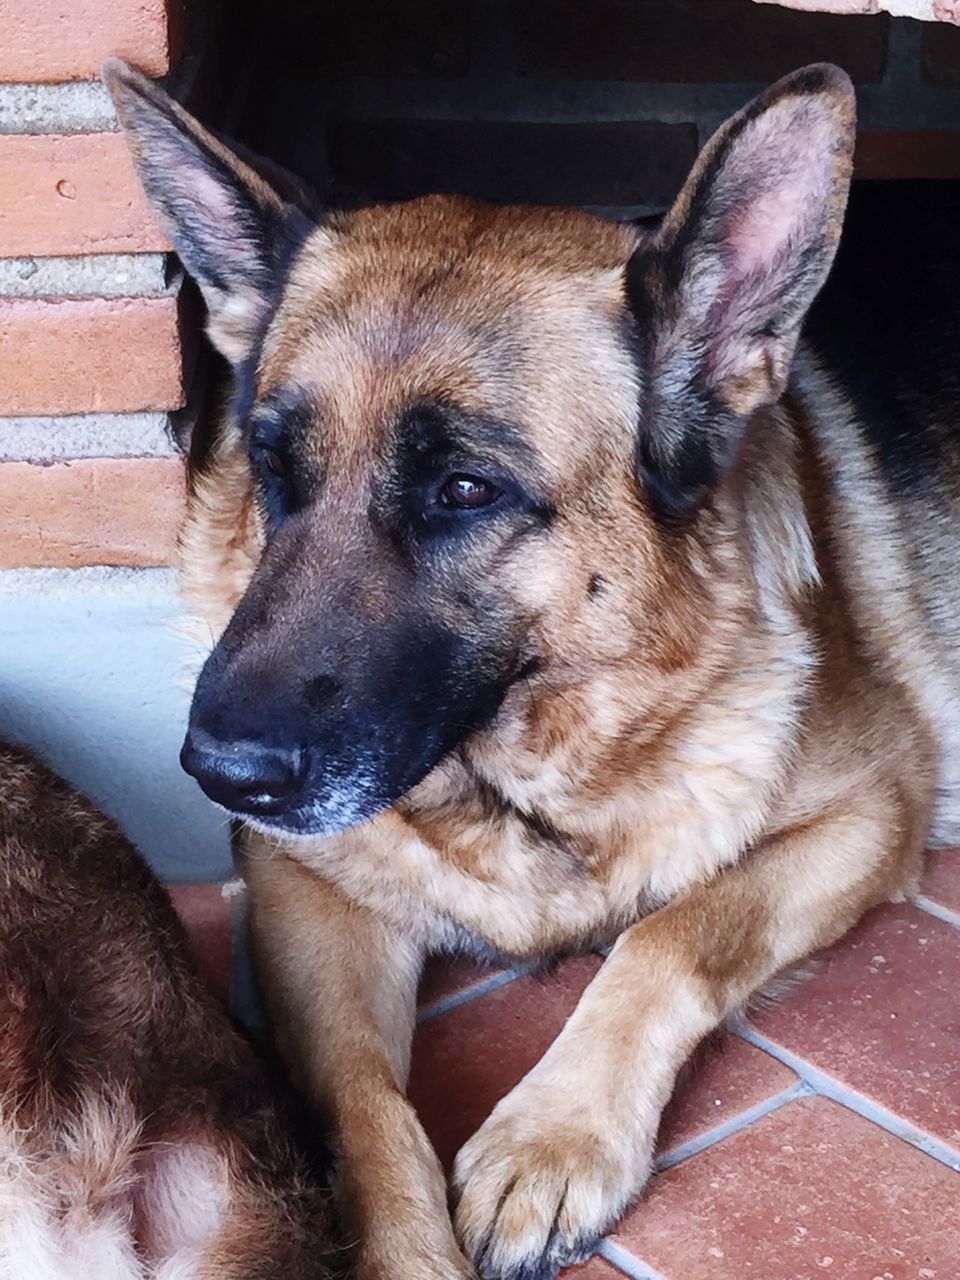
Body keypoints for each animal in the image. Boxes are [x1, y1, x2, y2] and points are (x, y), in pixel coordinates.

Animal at [104, 60, 960, 1280]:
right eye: (273, 467)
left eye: (465, 490)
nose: (221, 774)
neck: (525, 777)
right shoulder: (298, 883)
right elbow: (358, 1093)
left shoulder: (874, 810)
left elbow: (671, 931)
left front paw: (553, 1135)